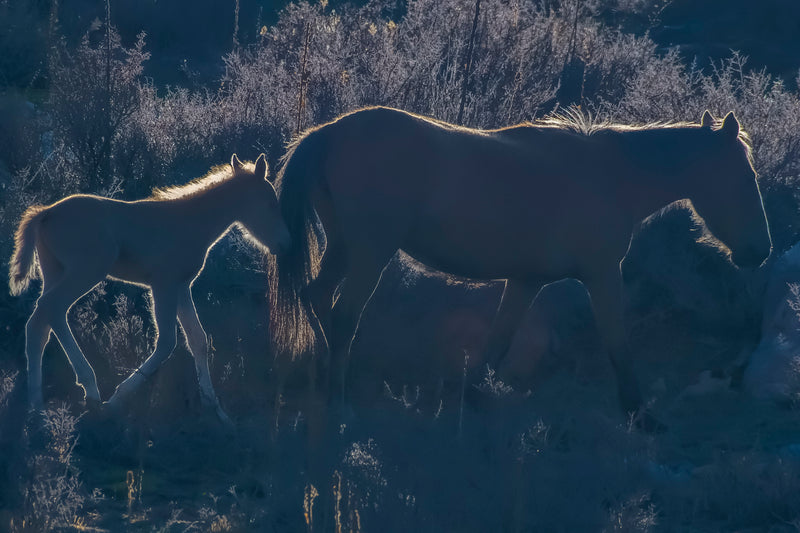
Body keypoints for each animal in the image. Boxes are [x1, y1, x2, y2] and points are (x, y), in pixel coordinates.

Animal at [10, 154, 290, 424]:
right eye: (270, 203)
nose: (282, 243)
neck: (191, 222)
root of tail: (45, 212)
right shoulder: (163, 284)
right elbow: (166, 342)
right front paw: (115, 402)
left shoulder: (181, 287)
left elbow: (198, 340)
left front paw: (217, 411)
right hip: (85, 272)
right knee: (53, 309)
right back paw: (91, 392)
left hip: (54, 272)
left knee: (38, 325)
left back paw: (37, 408)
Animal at [268, 108, 768, 428]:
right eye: (747, 178)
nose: (760, 250)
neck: (612, 177)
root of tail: (331, 132)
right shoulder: (603, 275)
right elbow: (618, 344)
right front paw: (640, 415)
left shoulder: (527, 281)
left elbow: (498, 342)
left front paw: (466, 398)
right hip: (370, 253)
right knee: (344, 316)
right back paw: (340, 404)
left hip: (345, 248)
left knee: (317, 299)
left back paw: (324, 379)